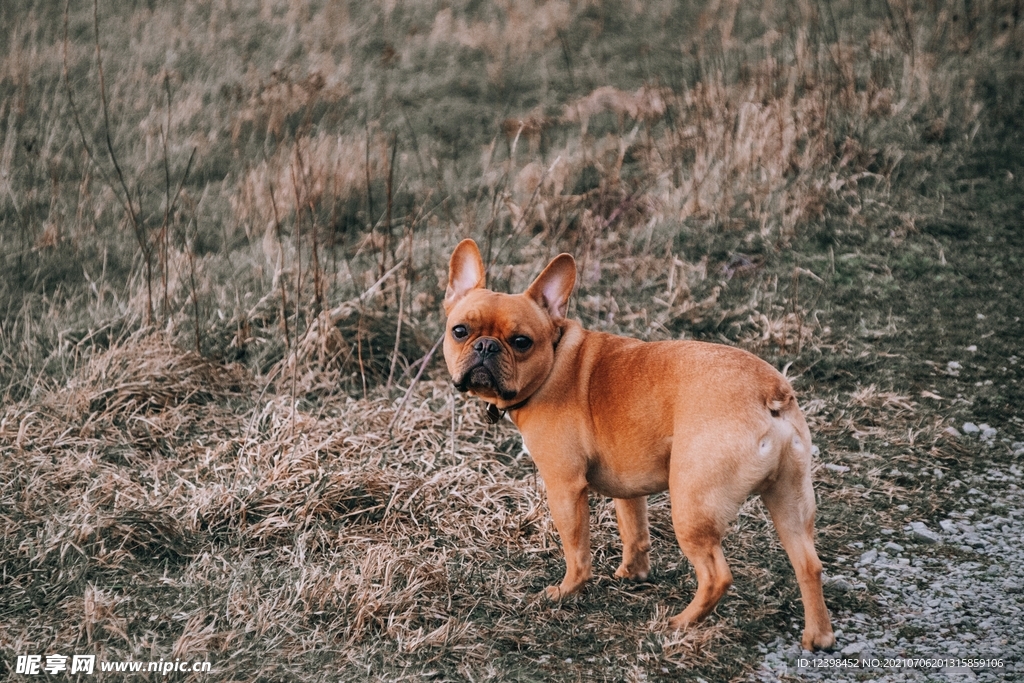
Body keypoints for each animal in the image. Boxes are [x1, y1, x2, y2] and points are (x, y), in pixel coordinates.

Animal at [444, 240, 835, 651]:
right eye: (460, 331)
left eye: (521, 342)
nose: (485, 346)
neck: (555, 358)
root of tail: (770, 394)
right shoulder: (628, 485)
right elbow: (634, 529)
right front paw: (633, 573)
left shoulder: (564, 486)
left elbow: (576, 549)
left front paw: (567, 591)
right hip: (789, 500)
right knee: (808, 564)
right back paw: (818, 636)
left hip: (692, 505)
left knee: (716, 575)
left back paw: (680, 623)